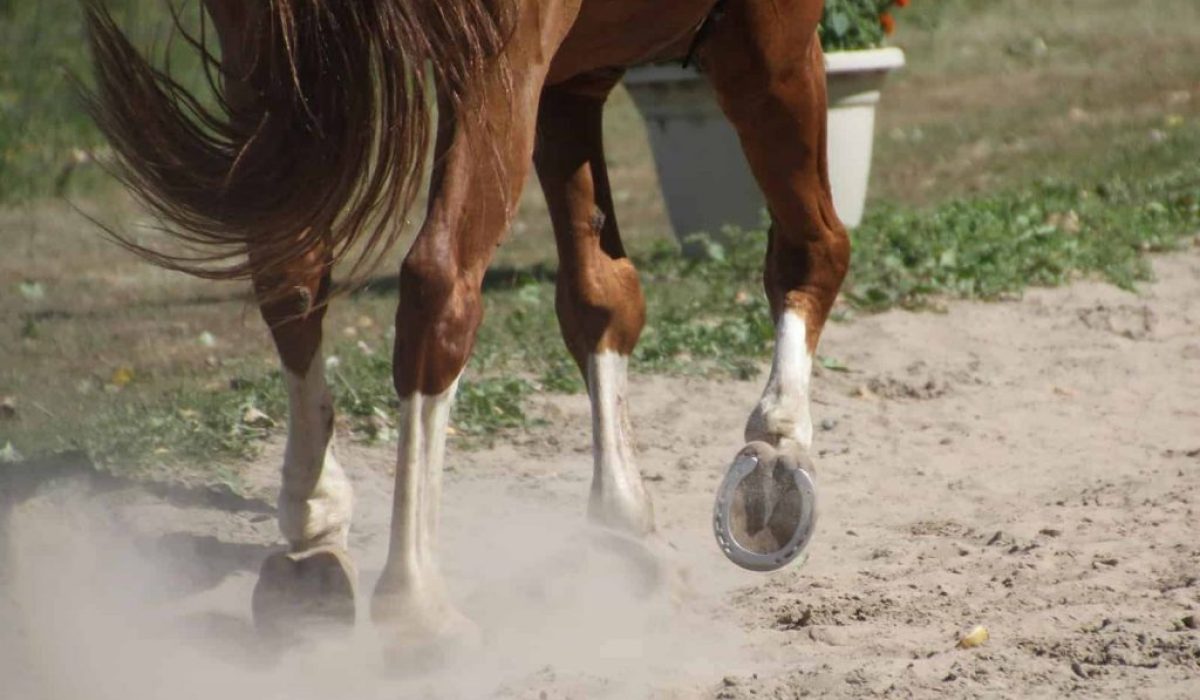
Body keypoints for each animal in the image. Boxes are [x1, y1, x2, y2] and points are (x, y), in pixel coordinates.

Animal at [83, 0, 848, 643]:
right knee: (438, 283)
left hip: (266, 59)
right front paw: (775, 457)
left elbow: (600, 296)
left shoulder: (571, 79)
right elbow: (813, 248)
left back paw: (312, 535)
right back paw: (415, 602)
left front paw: (623, 523)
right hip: (492, 62)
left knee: (289, 262)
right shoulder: (768, 38)